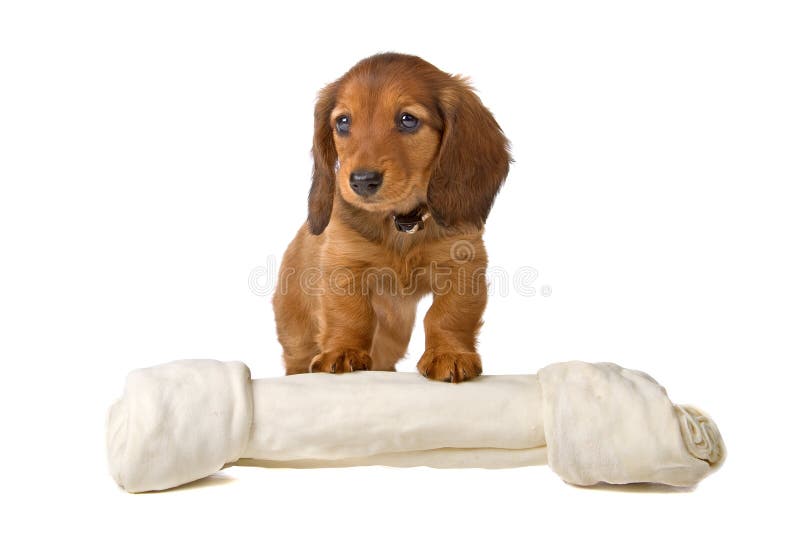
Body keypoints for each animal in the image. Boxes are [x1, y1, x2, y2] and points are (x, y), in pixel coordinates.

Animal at [272, 52, 510, 384]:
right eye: (343, 122)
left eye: (408, 120)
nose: (362, 181)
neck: (402, 223)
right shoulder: (345, 263)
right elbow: (351, 313)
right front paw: (343, 351)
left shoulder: (463, 263)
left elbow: (448, 314)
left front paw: (449, 354)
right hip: (297, 336)